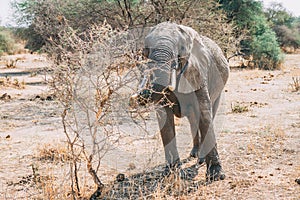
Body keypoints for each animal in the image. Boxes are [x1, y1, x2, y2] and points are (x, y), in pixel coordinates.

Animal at [130, 21, 229, 181]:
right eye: (146, 51)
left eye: (180, 50)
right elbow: (165, 117)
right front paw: (171, 172)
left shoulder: (199, 72)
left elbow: (204, 113)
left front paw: (216, 175)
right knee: (193, 120)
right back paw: (194, 154)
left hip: (219, 87)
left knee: (208, 114)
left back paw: (200, 159)